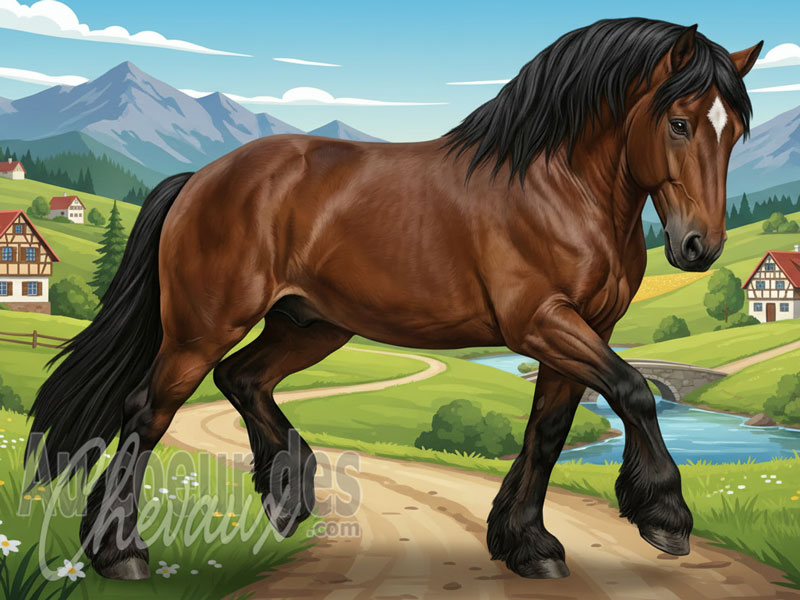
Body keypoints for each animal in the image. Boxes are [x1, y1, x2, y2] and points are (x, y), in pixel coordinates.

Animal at [27, 17, 761, 581]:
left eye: (733, 131)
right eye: (679, 123)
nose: (699, 247)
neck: (558, 186)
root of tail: (202, 178)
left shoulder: (583, 330)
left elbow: (550, 431)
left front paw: (527, 544)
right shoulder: (541, 323)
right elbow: (634, 391)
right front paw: (665, 516)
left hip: (311, 324)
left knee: (241, 377)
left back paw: (288, 494)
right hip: (201, 328)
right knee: (147, 412)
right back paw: (121, 553)